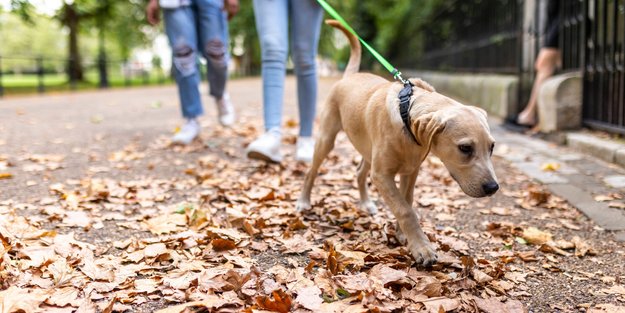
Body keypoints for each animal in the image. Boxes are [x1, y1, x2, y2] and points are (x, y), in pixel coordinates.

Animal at [296, 20, 498, 266]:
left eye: (492, 147)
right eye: (465, 148)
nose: (493, 188)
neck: (407, 110)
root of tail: (348, 77)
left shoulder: (410, 172)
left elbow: (406, 201)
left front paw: (405, 235)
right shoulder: (382, 175)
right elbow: (405, 210)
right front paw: (421, 247)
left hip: (367, 148)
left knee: (360, 173)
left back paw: (366, 203)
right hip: (327, 139)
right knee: (311, 171)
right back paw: (304, 201)